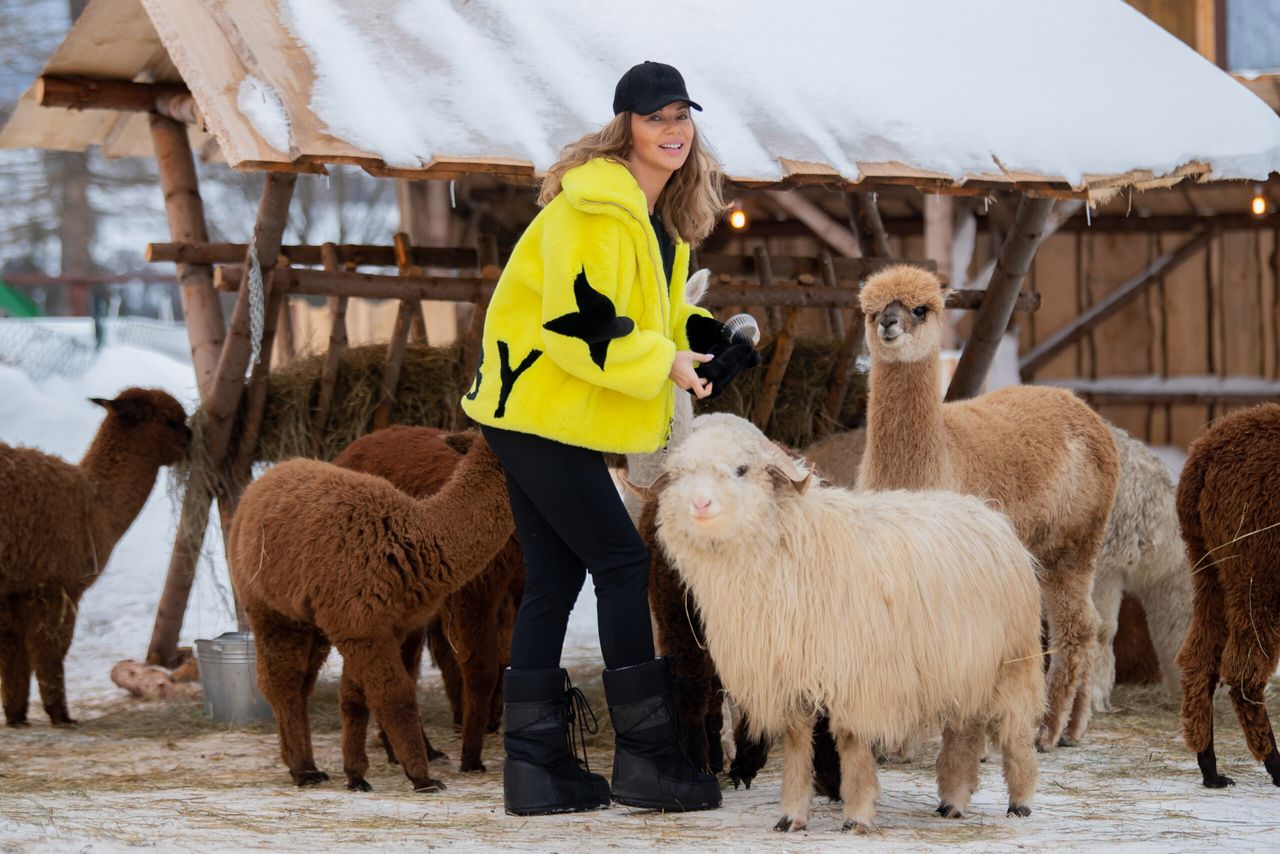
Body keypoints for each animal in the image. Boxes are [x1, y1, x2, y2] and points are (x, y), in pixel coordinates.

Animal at [640, 414, 1049, 834]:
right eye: (682, 474)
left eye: (741, 469)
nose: (700, 503)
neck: (791, 549)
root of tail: (987, 511)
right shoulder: (791, 675)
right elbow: (797, 743)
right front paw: (791, 815)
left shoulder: (856, 676)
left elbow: (851, 742)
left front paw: (858, 814)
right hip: (964, 666)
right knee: (964, 729)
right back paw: (953, 800)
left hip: (1011, 662)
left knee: (1016, 730)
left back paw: (1020, 800)